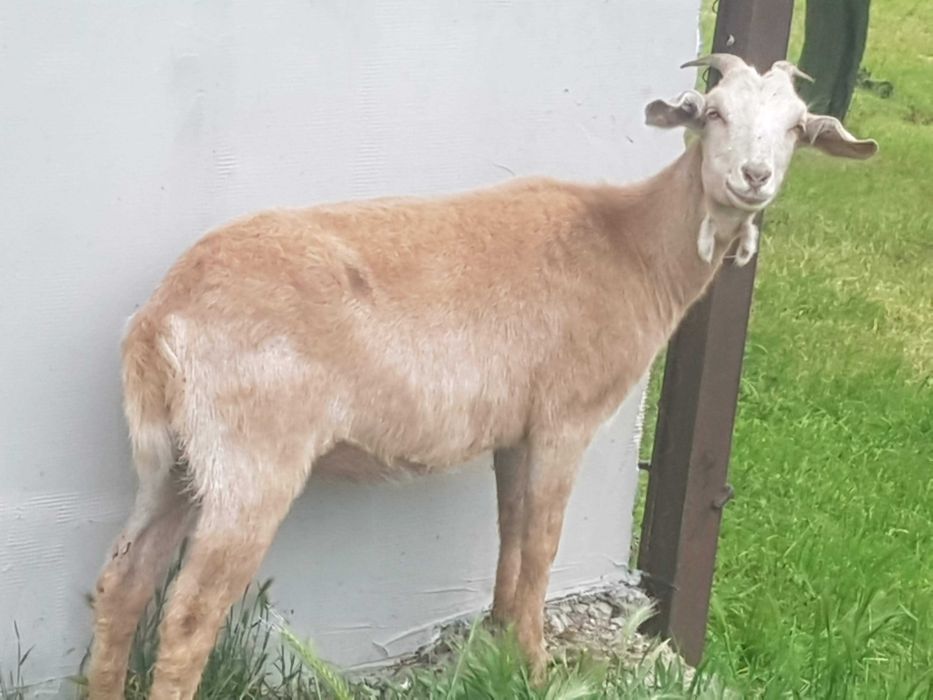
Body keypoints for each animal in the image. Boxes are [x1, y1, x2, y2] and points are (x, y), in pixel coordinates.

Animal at [87, 54, 876, 699]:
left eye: (796, 127)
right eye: (712, 113)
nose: (753, 179)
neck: (634, 247)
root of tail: (160, 319)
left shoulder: (512, 430)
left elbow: (510, 535)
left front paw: (497, 646)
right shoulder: (565, 418)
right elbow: (543, 546)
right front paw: (535, 669)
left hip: (171, 459)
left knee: (122, 582)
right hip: (251, 460)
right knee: (190, 614)